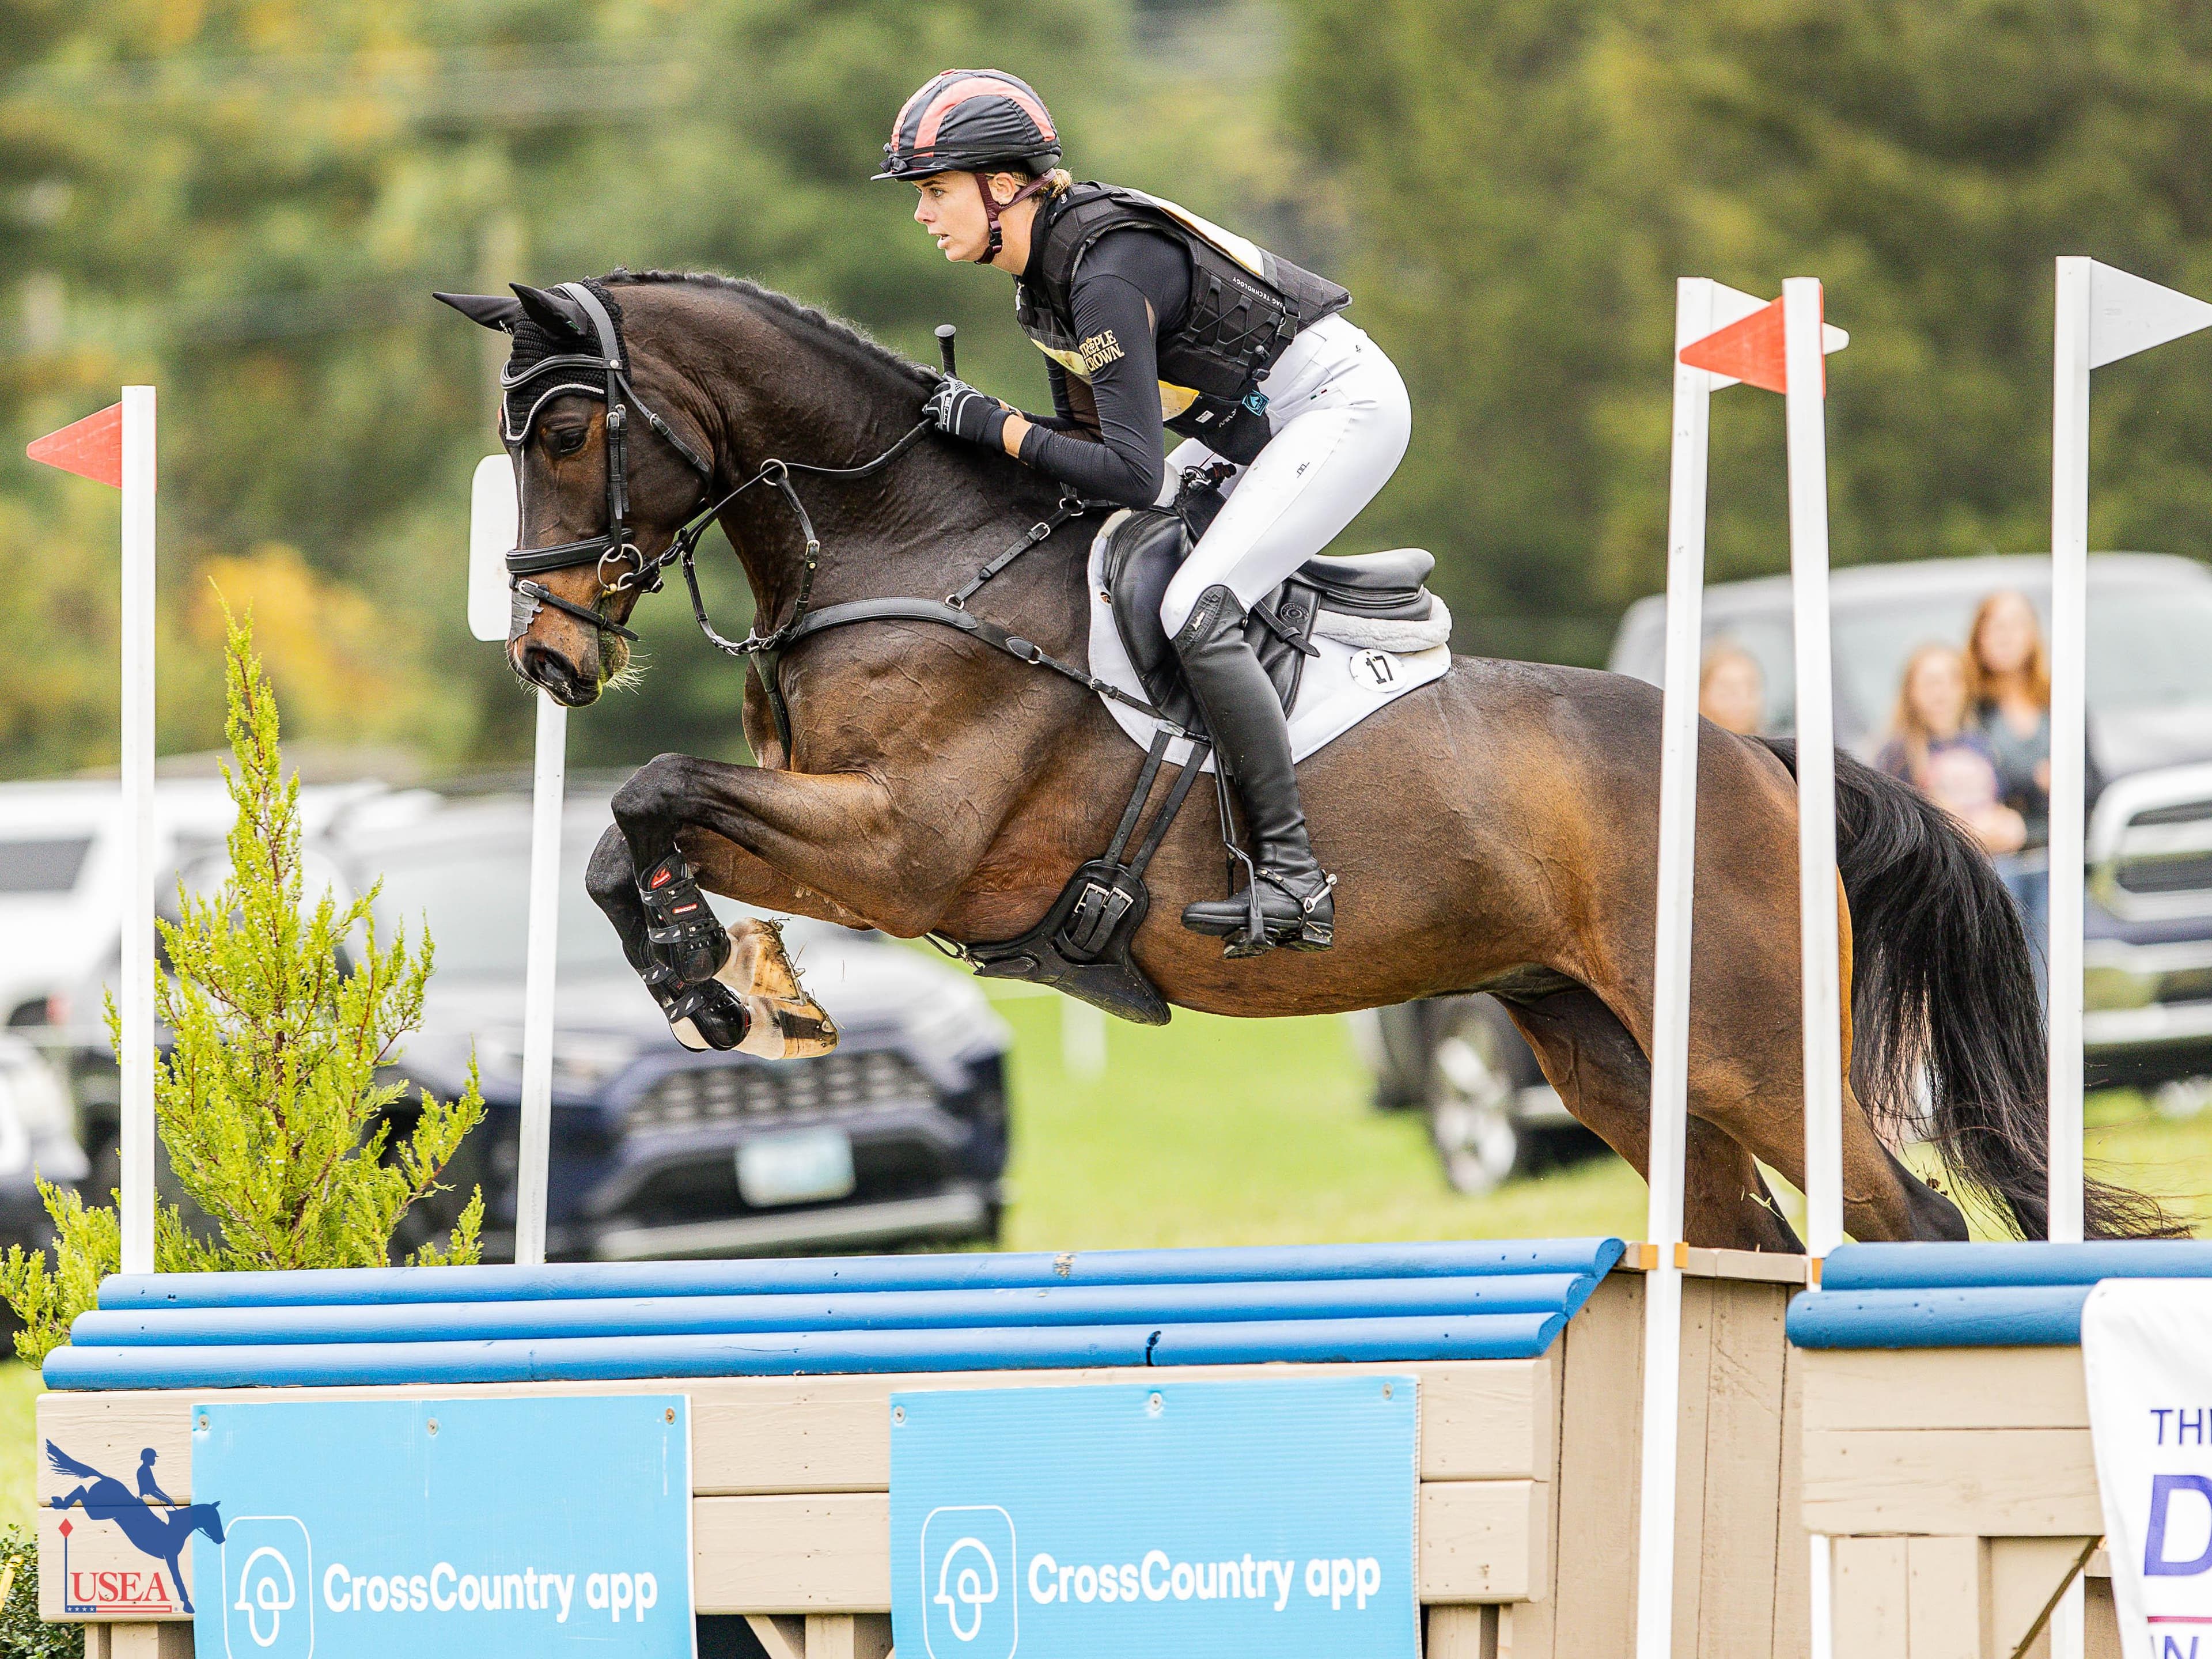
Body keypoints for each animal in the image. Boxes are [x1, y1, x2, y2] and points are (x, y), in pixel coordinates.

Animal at [438, 269, 2175, 1250]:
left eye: (569, 434)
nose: (547, 658)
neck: (910, 547)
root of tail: (1762, 759)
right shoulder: (842, 832)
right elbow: (632, 826)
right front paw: (721, 979)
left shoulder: (906, 844)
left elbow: (655, 794)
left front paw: (713, 976)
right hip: (1606, 1050)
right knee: (1739, 1234)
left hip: (1753, 1039)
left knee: (1906, 1219)